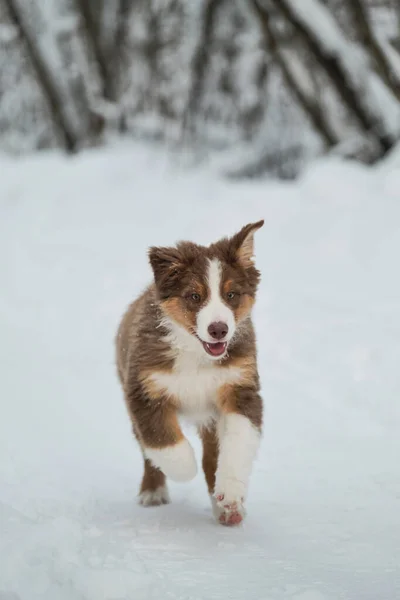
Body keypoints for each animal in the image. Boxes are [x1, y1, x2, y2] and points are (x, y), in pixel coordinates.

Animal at [115, 219, 264, 524]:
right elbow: (162, 440)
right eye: (194, 296)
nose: (219, 330)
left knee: (212, 455)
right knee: (147, 450)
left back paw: (226, 509)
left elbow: (238, 441)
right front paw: (185, 468)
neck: (195, 354)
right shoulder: (144, 390)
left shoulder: (240, 387)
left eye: (231, 295)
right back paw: (153, 491)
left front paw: (230, 494)